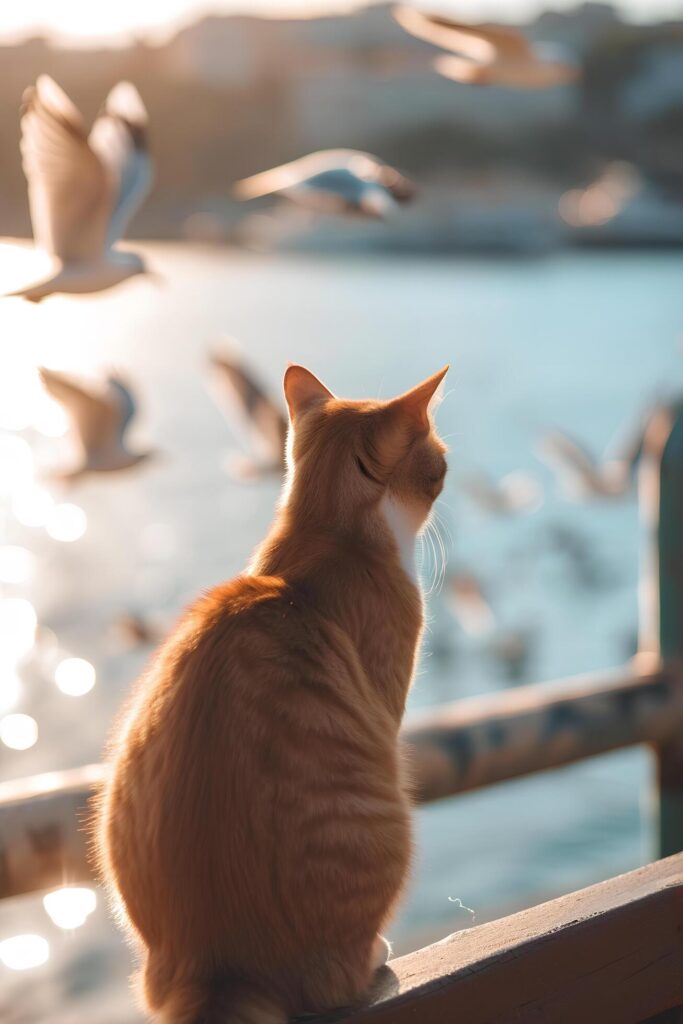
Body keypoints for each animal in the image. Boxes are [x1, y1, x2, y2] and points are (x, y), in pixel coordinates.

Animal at [96, 364, 448, 1019]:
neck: (325, 533)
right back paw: (373, 956)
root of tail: (224, 970)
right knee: (335, 978)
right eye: (438, 458)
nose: (447, 465)